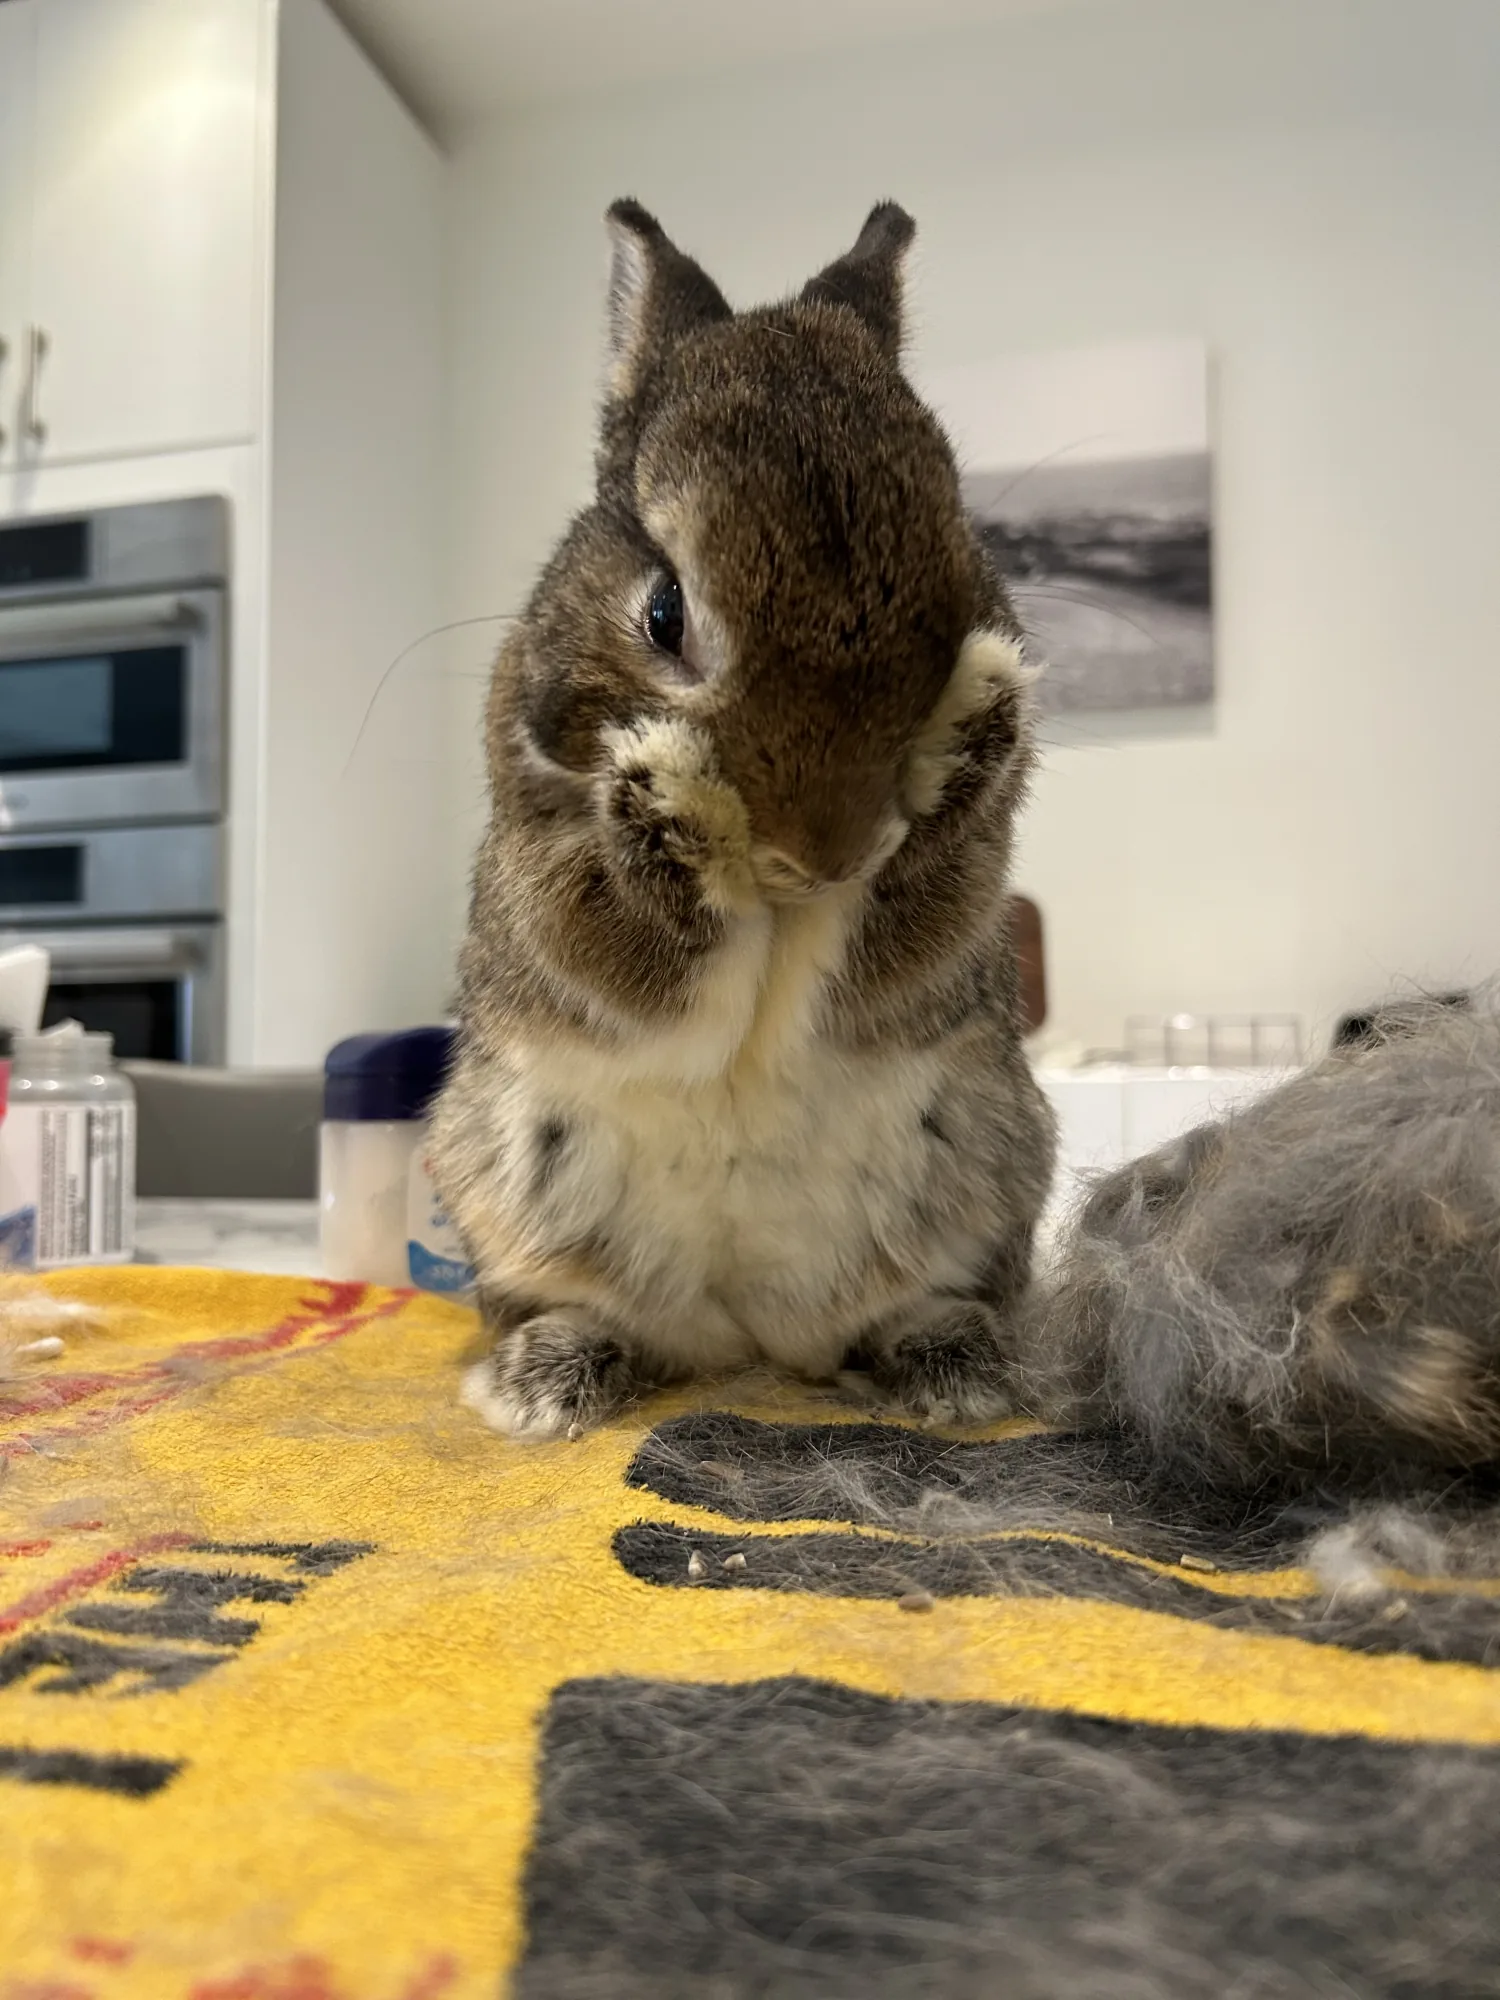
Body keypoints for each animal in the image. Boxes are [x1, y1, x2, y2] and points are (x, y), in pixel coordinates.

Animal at [428, 198, 1056, 1441]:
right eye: (666, 612)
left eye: (964, 585)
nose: (824, 849)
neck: (782, 897)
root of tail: (749, 1337)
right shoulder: (554, 888)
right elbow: (652, 940)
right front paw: (666, 791)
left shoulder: (939, 919)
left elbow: (913, 897)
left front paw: (977, 722)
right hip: (498, 1179)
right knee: (562, 1304)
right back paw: (546, 1383)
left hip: (992, 1158)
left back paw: (959, 1367)